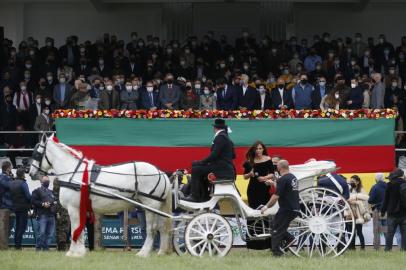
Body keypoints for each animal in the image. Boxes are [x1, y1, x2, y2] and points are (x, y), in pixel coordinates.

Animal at [27, 135, 174, 258]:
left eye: (37, 154)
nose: (31, 173)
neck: (74, 174)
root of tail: (160, 172)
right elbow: (80, 230)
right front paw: (80, 251)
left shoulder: (73, 208)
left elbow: (75, 229)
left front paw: (73, 252)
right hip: (157, 208)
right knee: (162, 228)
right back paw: (161, 251)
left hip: (150, 206)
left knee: (151, 229)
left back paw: (143, 253)